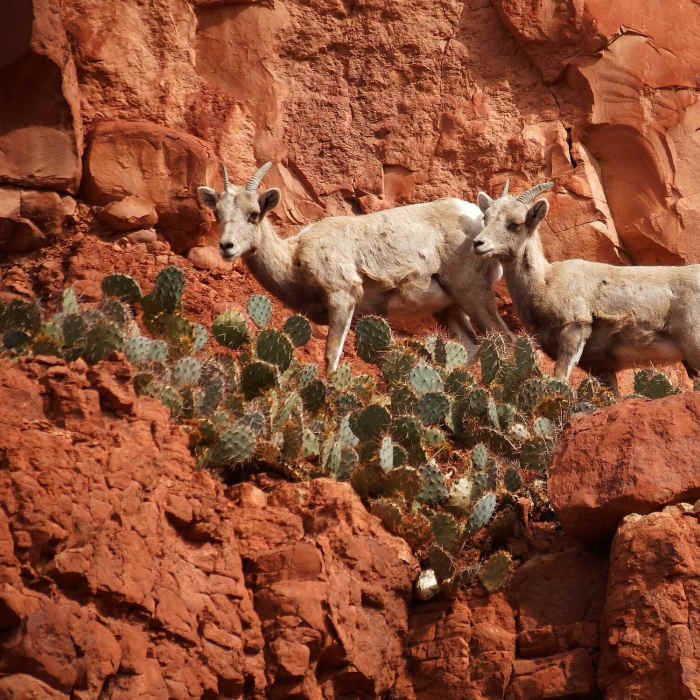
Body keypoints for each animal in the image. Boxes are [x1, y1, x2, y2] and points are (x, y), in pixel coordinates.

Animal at [197, 161, 512, 373]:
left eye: (253, 214)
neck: (293, 259)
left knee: (505, 341)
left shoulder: (343, 296)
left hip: (473, 295)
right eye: (218, 213)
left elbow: (331, 356)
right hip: (449, 309)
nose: (227, 247)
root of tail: (478, 219)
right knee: (470, 348)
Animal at [471, 181, 700, 393]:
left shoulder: (574, 330)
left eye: (515, 223)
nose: (478, 243)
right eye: (486, 218)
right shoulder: (602, 368)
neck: (544, 282)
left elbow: (560, 379)